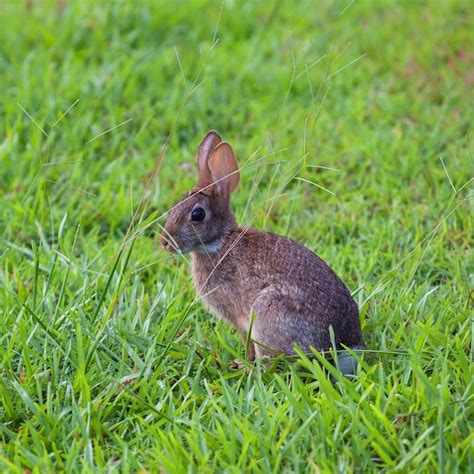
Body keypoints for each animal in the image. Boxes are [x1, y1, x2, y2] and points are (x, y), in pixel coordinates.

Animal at [159, 131, 362, 372]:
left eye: (197, 215)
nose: (164, 242)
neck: (220, 243)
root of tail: (343, 348)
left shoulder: (239, 317)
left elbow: (246, 341)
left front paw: (241, 362)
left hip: (267, 312)